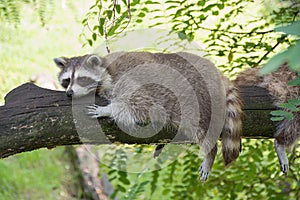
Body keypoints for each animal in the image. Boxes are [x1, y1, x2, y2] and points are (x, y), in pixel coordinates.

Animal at [54, 51, 244, 181]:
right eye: (66, 80)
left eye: (82, 79)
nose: (69, 93)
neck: (106, 69)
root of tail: (214, 71)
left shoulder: (125, 80)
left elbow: (141, 106)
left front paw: (108, 109)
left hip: (198, 96)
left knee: (200, 126)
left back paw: (210, 153)